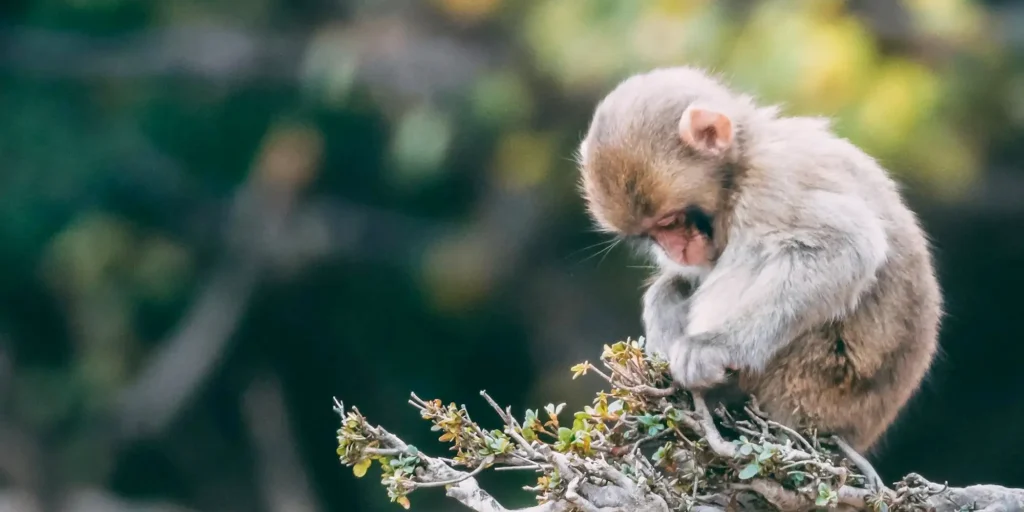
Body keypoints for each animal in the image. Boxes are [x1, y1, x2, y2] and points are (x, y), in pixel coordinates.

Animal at [573, 65, 937, 452]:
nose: (675, 250)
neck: (740, 165)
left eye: (669, 221)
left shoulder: (772, 186)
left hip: (811, 384)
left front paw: (714, 347)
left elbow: (845, 247)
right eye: (651, 234)